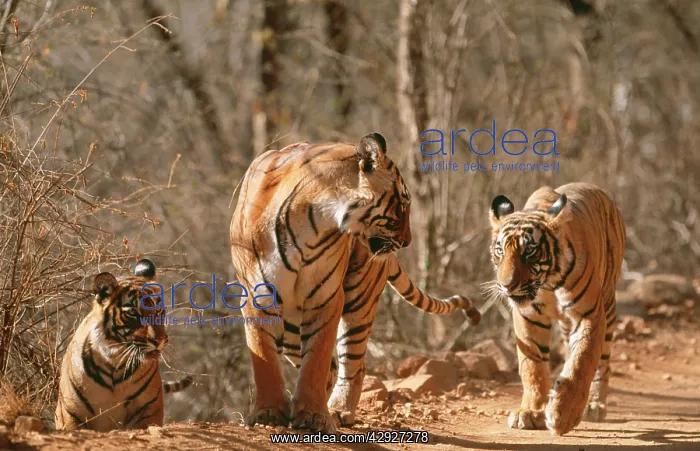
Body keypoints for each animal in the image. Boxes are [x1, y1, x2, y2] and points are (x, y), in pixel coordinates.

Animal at [55, 259, 193, 432]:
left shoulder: (148, 410)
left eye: (159, 311)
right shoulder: (70, 414)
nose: (160, 340)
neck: (115, 359)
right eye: (133, 313)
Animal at [230, 132, 480, 433]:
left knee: (353, 364)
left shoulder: (326, 297)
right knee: (330, 366)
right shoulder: (257, 296)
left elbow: (316, 359)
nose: (408, 241)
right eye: (403, 203)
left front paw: (313, 416)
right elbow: (264, 357)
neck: (313, 218)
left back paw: (338, 410)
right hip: (291, 326)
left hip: (360, 299)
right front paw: (268, 413)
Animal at [487, 182, 625, 436]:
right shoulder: (528, 316)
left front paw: (564, 415)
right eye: (500, 250)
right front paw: (530, 413)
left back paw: (594, 406)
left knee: (602, 364)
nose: (506, 285)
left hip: (609, 305)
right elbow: (532, 366)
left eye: (529, 251)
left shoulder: (589, 314)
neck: (547, 284)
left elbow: (582, 361)